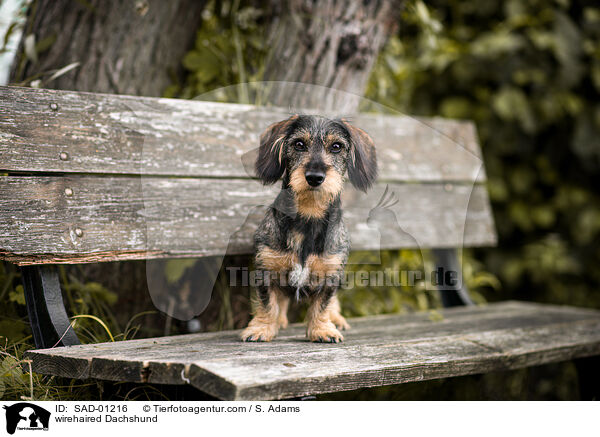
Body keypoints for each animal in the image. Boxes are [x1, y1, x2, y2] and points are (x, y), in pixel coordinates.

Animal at [241, 114, 378, 342]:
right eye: (299, 144)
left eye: (336, 146)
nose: (314, 177)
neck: (308, 215)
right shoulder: (267, 269)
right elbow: (267, 303)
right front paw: (261, 328)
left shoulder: (330, 273)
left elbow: (323, 304)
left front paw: (322, 330)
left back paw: (336, 320)